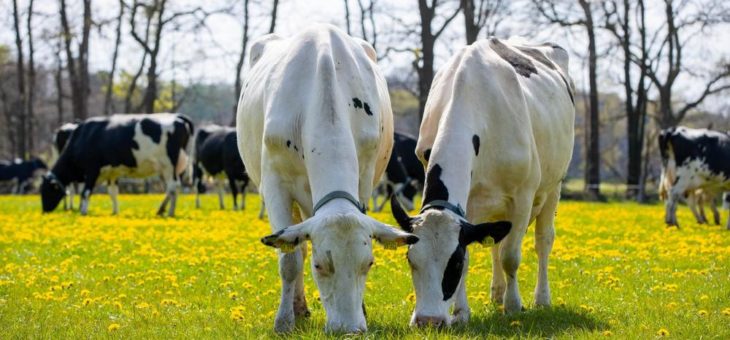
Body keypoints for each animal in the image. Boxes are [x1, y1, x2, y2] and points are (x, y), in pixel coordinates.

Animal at [41, 113, 192, 216]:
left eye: (46, 190)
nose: (44, 210)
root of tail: (177, 117)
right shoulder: (112, 172)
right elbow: (112, 192)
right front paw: (115, 211)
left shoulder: (92, 170)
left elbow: (86, 192)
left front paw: (83, 211)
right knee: (174, 187)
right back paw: (166, 210)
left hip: (168, 165)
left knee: (173, 186)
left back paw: (166, 210)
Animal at [233, 25, 416, 334]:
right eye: (320, 266)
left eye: (369, 264)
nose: (349, 329)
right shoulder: (275, 186)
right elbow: (289, 259)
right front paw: (283, 322)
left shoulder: (364, 182)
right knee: (298, 247)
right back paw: (297, 308)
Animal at [390, 37, 572, 326]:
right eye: (411, 259)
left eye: (452, 263)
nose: (428, 321)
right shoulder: (468, 205)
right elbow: (481, 251)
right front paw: (461, 313)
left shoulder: (522, 196)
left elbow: (511, 256)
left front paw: (513, 305)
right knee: (497, 242)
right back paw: (497, 293)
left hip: (553, 187)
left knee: (543, 241)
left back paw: (541, 298)